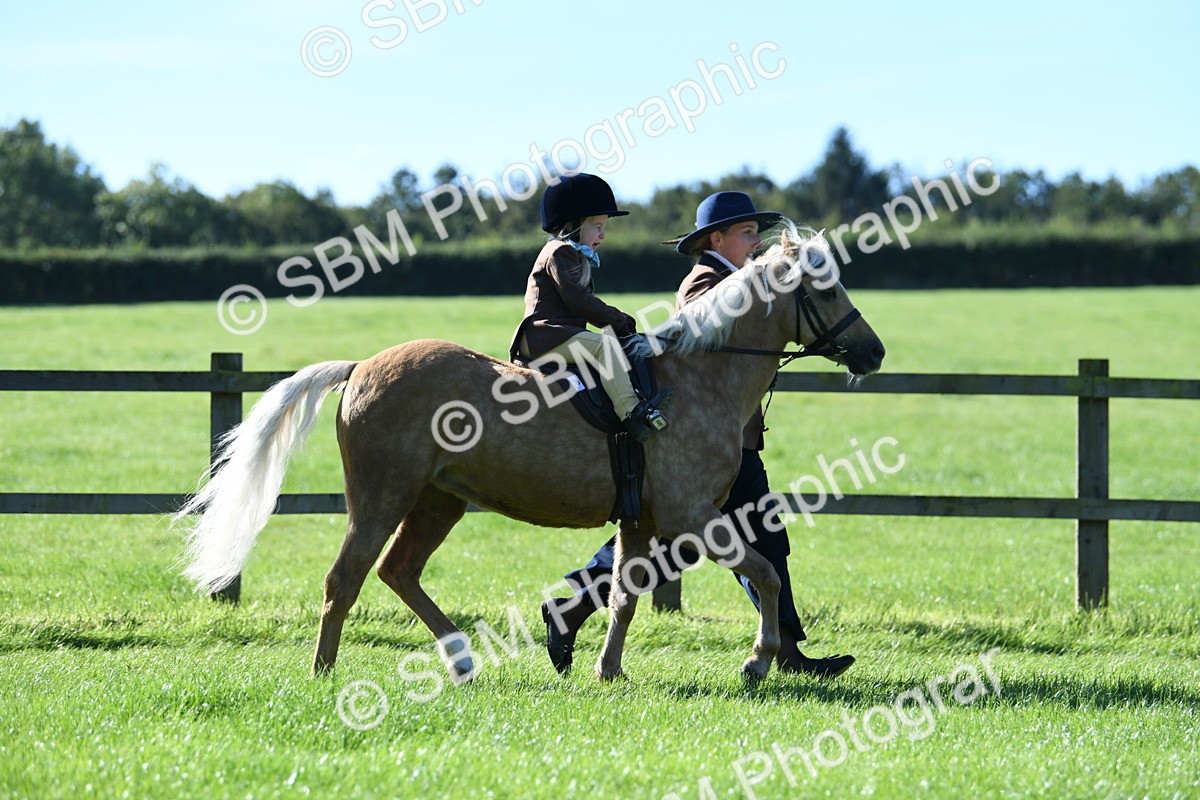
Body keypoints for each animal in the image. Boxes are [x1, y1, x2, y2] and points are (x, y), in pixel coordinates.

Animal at [176, 223, 885, 683]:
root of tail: (361, 368)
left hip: (438, 500)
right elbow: (765, 575)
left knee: (397, 572)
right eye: (825, 290)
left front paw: (606, 669)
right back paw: (324, 675)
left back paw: (461, 661)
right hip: (382, 498)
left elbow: (625, 593)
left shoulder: (644, 520)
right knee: (345, 579)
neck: (699, 376)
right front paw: (757, 661)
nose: (874, 353)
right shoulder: (692, 517)